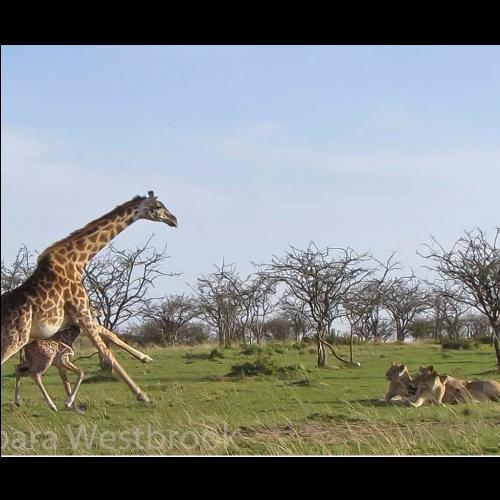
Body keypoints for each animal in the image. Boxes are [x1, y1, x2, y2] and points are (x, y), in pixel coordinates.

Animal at [0, 191, 178, 402]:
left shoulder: (80, 316)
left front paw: (145, 358)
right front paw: (142, 395)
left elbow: (112, 335)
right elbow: (108, 353)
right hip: (14, 339)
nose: (174, 220)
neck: (77, 261)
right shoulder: (82, 313)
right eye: (158, 206)